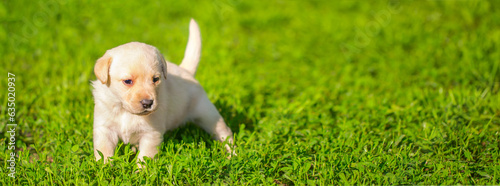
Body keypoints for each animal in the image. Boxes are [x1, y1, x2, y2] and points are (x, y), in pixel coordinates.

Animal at [91, 19, 234, 163]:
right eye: (127, 81)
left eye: (155, 79)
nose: (148, 103)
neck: (125, 111)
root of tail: (186, 71)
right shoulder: (104, 129)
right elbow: (103, 152)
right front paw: (104, 167)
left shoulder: (151, 134)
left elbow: (145, 157)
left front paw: (141, 169)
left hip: (207, 114)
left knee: (224, 132)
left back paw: (232, 154)